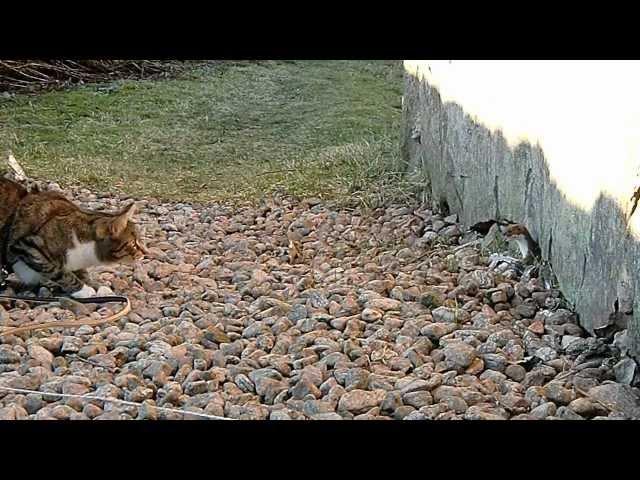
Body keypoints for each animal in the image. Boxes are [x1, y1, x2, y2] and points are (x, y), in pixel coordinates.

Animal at [0, 176, 148, 296]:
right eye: (134, 243)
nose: (146, 253)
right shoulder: (27, 246)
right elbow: (57, 270)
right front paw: (83, 290)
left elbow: (81, 271)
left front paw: (94, 285)